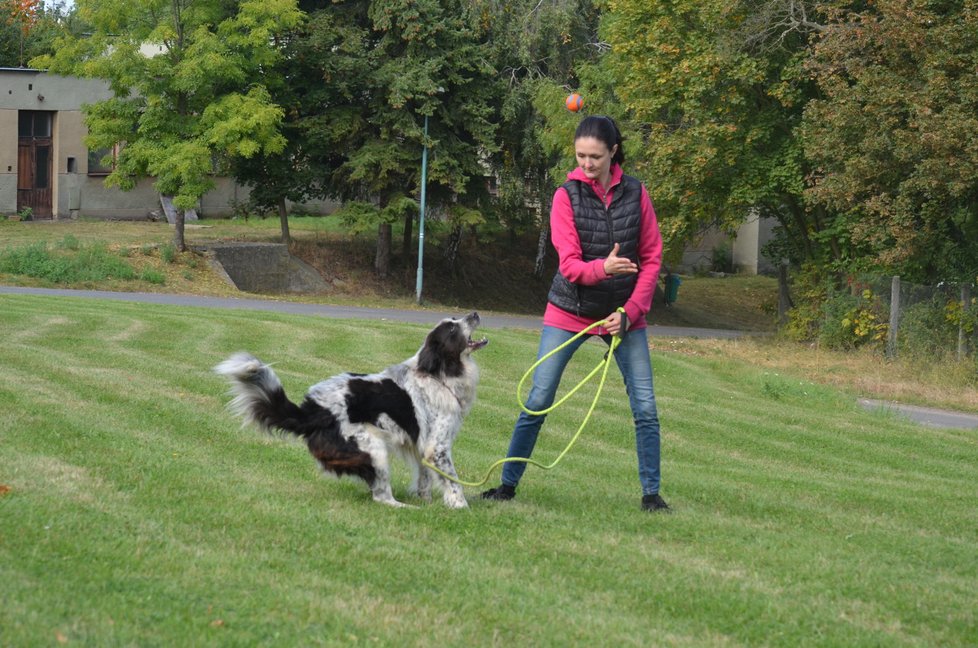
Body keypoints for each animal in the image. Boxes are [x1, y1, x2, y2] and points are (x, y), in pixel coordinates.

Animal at [214, 312, 488, 506]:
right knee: (381, 497)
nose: (475, 313)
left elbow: (425, 480)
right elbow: (454, 483)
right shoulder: (437, 448)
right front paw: (460, 508)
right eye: (452, 328)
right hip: (373, 449)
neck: (439, 375)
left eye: (455, 319)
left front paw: (427, 503)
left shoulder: (423, 446)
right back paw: (405, 507)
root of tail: (312, 410)